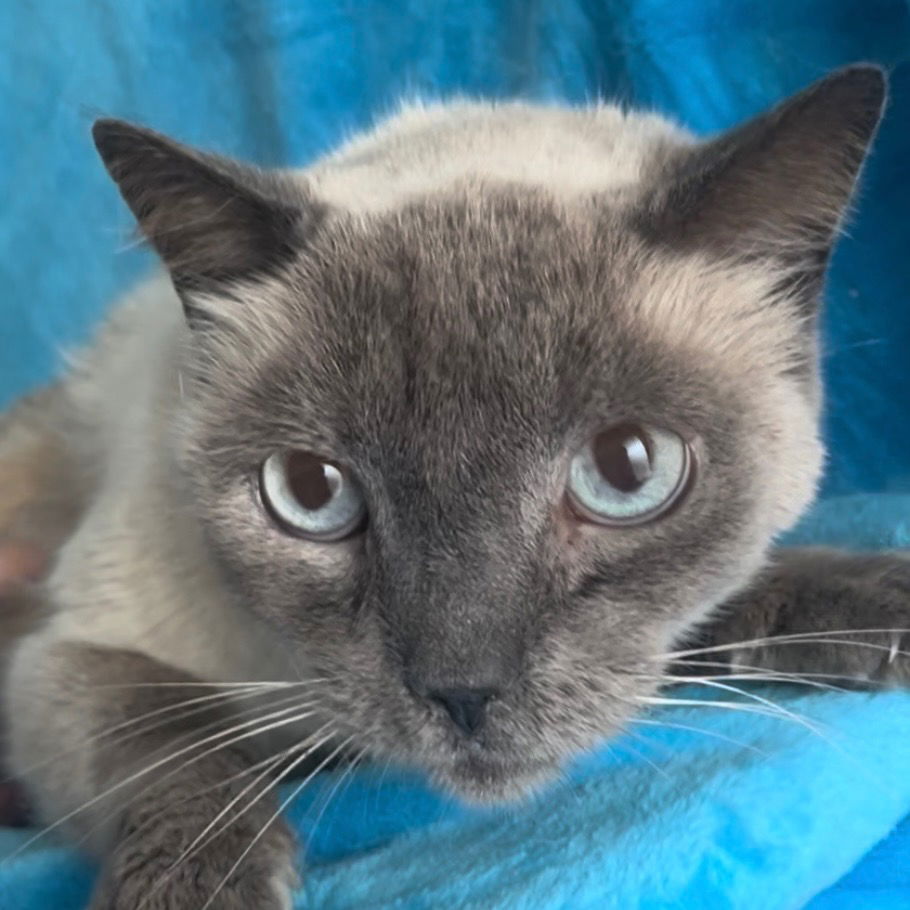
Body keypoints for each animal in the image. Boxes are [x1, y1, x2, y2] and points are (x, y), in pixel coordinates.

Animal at [0, 60, 908, 908]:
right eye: (311, 491)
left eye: (627, 471)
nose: (463, 694)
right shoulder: (72, 652)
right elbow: (172, 737)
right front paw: (197, 888)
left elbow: (737, 595)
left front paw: (881, 609)